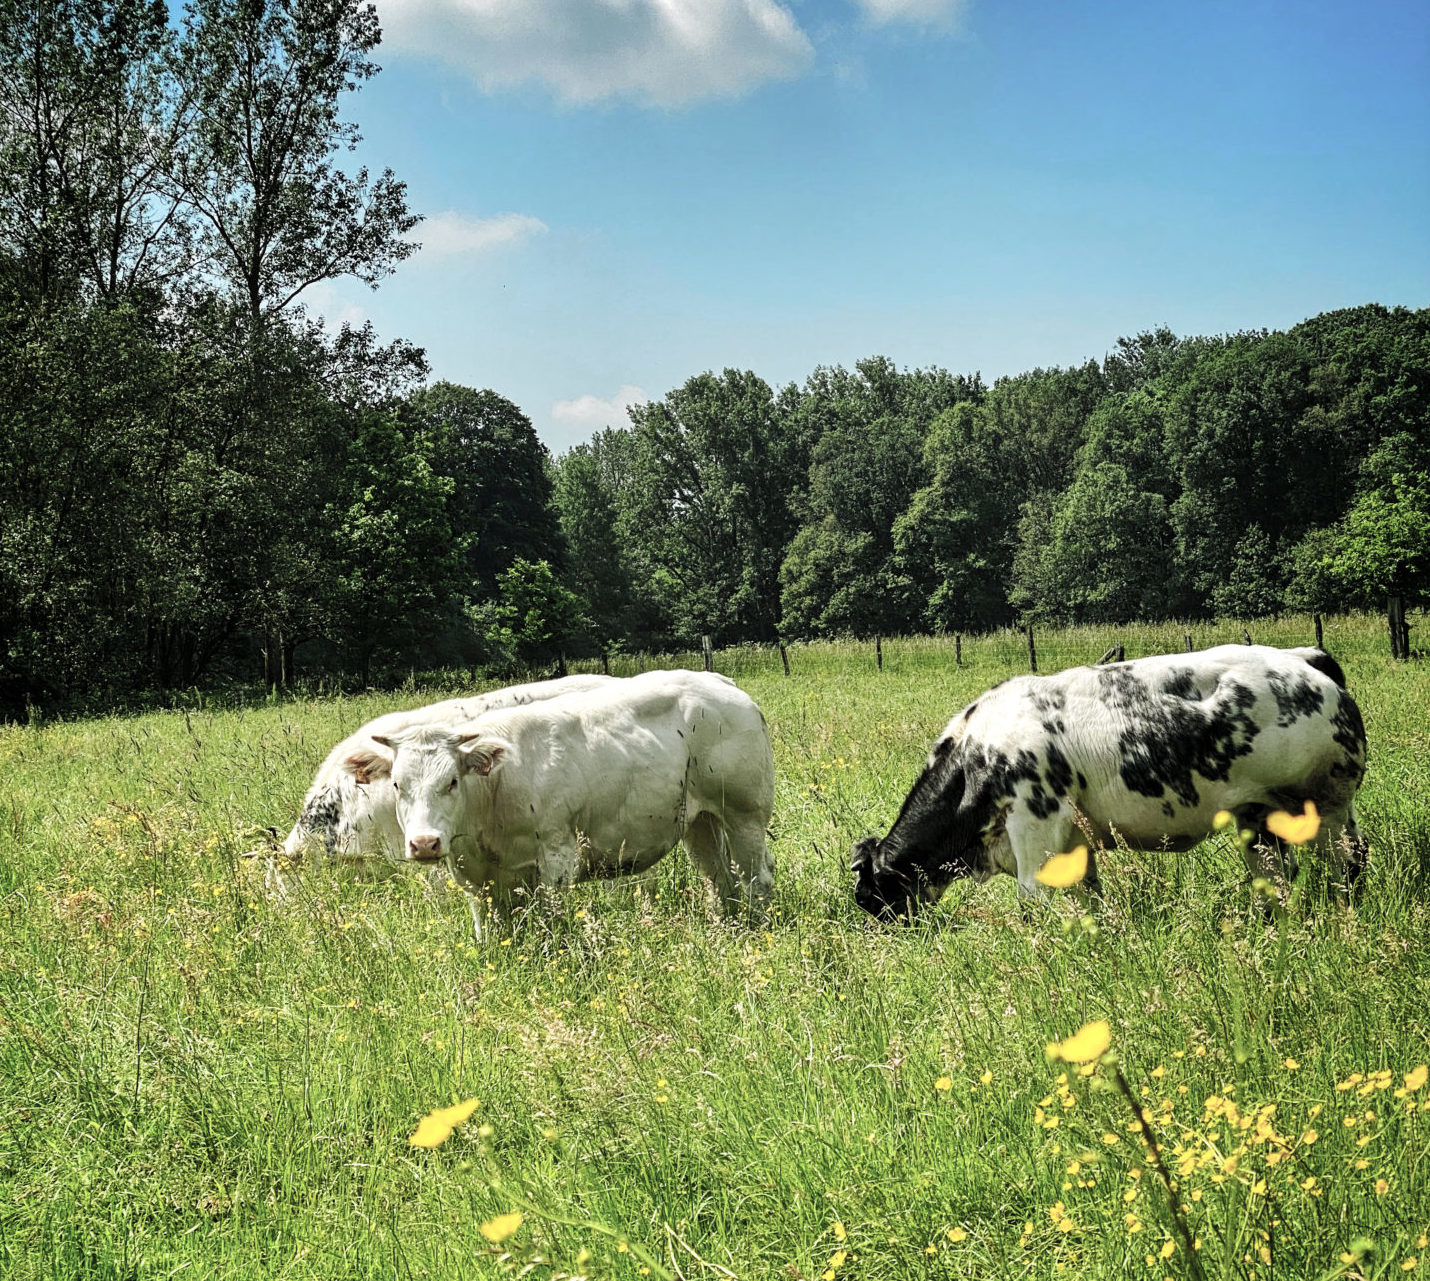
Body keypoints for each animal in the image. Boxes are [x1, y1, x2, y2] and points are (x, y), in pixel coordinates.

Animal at [338, 670, 775, 936]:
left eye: (452, 781)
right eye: (397, 785)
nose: (425, 843)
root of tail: (712, 678)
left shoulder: (557, 857)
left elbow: (555, 923)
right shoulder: (474, 878)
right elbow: (486, 933)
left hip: (745, 815)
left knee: (757, 876)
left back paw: (759, 926)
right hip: (700, 823)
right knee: (719, 877)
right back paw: (725, 926)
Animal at [851, 645, 1368, 921]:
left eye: (870, 897)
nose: (884, 938)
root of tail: (1302, 658)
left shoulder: (1035, 824)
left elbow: (1036, 899)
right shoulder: (1074, 844)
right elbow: (1088, 899)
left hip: (1326, 805)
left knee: (1349, 861)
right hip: (1258, 818)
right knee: (1275, 877)